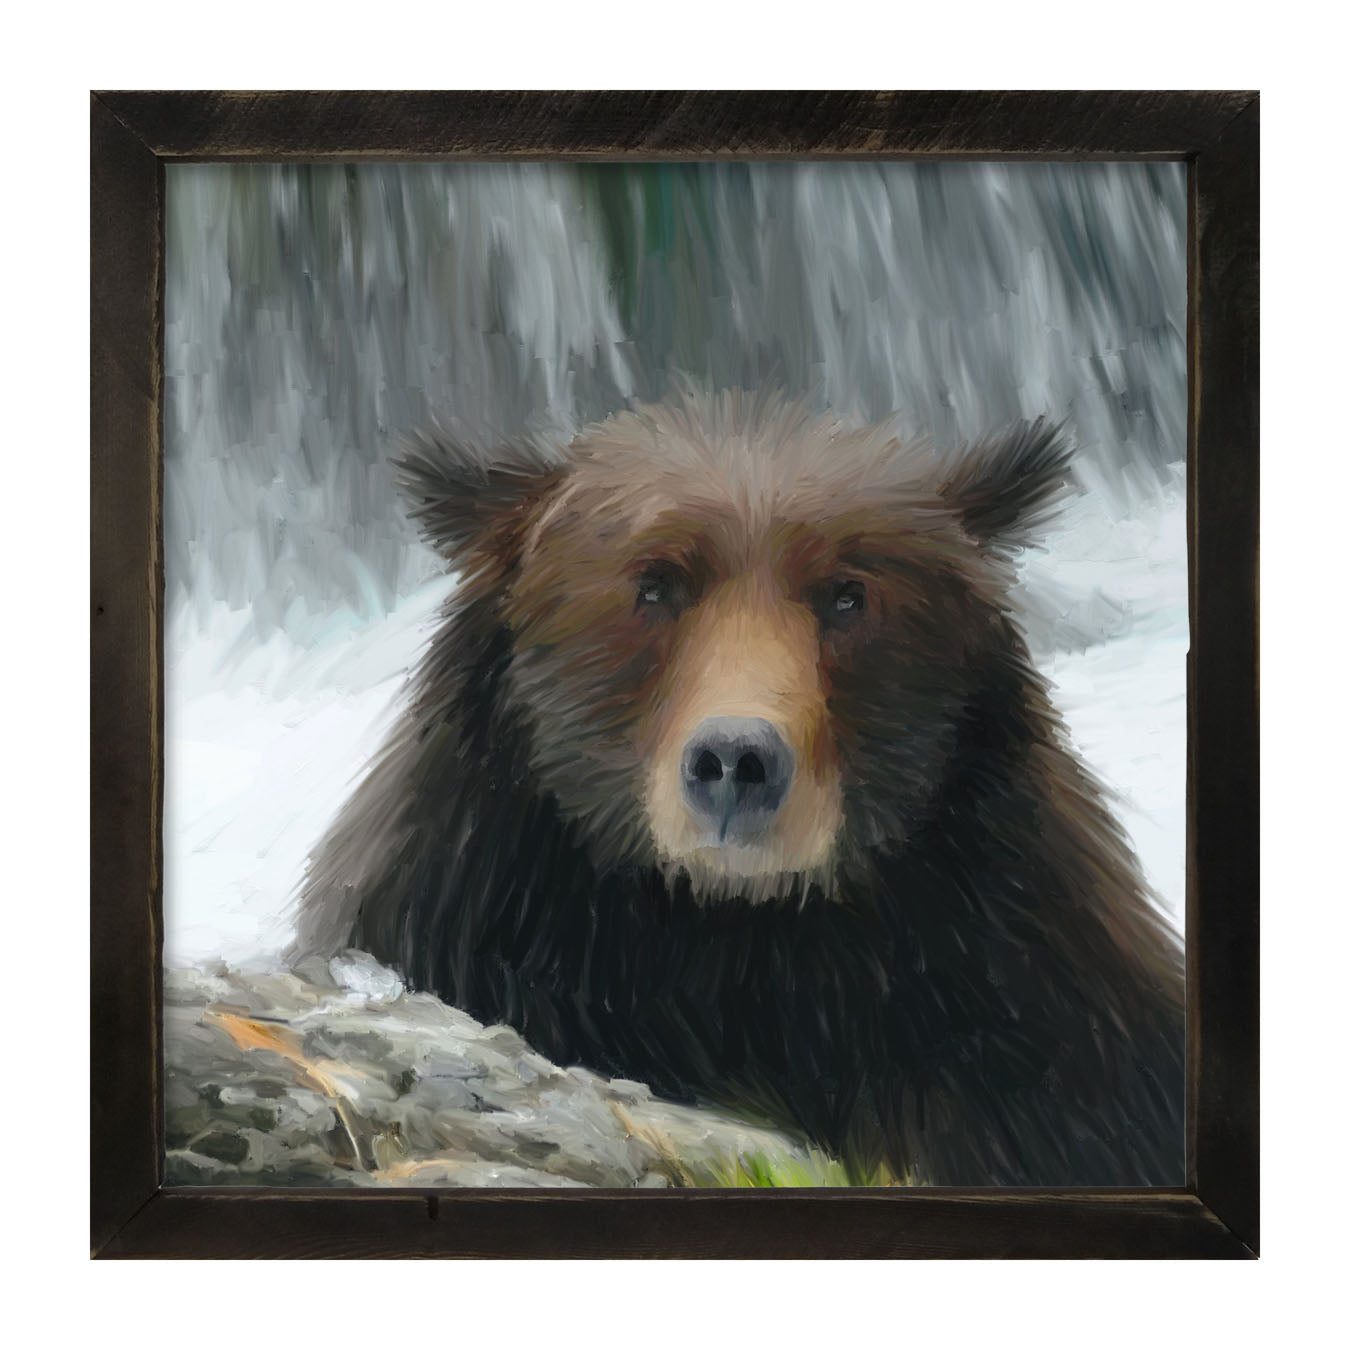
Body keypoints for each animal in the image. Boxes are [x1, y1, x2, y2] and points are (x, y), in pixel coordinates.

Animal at [294, 390, 1185, 1186]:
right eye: (654, 584)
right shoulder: (472, 916)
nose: (735, 761)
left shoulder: (1027, 1009)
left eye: (848, 594)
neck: (734, 940)